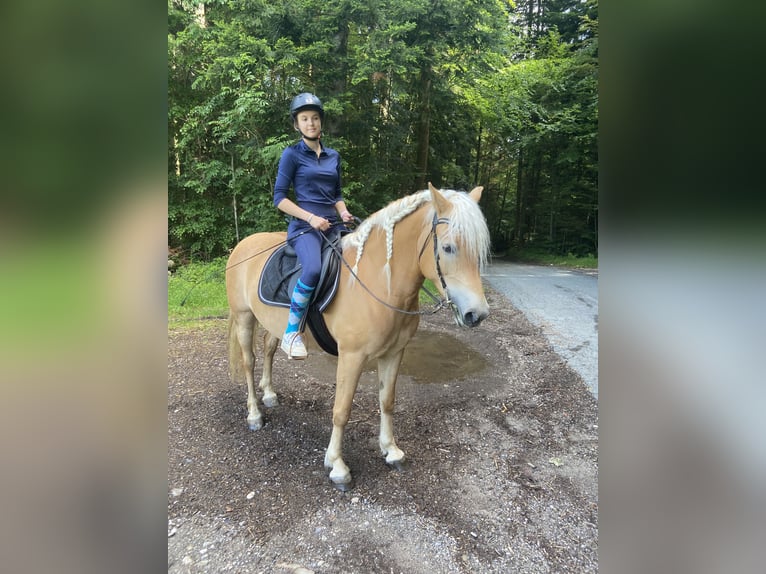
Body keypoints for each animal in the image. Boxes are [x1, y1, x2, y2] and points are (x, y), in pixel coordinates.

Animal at [226, 183, 492, 490]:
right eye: (448, 248)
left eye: (479, 251)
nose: (477, 314)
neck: (379, 283)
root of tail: (242, 246)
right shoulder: (352, 357)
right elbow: (341, 411)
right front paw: (337, 466)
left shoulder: (394, 352)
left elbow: (387, 401)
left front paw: (391, 450)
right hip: (244, 317)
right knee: (249, 362)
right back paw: (254, 414)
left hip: (272, 324)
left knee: (269, 350)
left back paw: (269, 394)